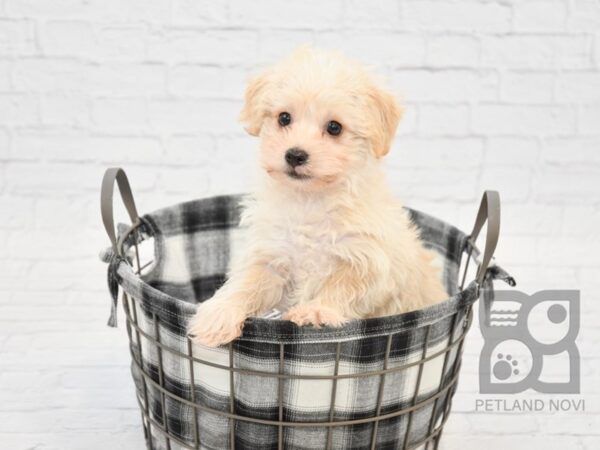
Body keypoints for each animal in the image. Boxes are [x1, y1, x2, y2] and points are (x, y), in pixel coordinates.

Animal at [188, 47, 446, 346]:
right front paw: (219, 313)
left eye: (334, 127)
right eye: (284, 118)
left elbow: (343, 285)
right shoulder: (272, 256)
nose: (295, 155)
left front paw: (316, 311)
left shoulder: (368, 261)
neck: (310, 200)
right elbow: (247, 283)